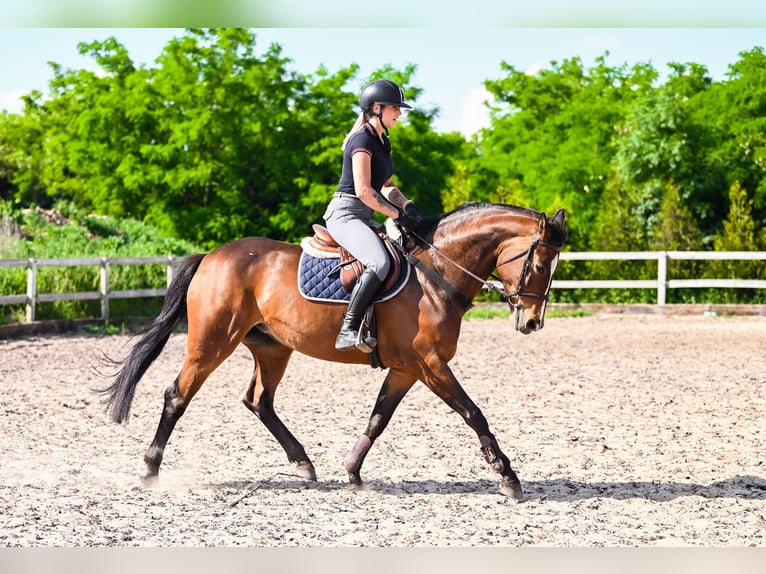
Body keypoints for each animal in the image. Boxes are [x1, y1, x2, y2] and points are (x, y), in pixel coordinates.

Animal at [96, 202, 568, 500]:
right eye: (538, 264)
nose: (532, 322)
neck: (436, 272)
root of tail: (212, 256)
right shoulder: (430, 364)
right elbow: (473, 413)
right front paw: (508, 477)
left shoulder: (408, 368)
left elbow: (379, 418)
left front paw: (353, 471)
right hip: (212, 342)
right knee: (177, 396)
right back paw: (150, 468)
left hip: (272, 348)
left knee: (259, 401)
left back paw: (303, 463)